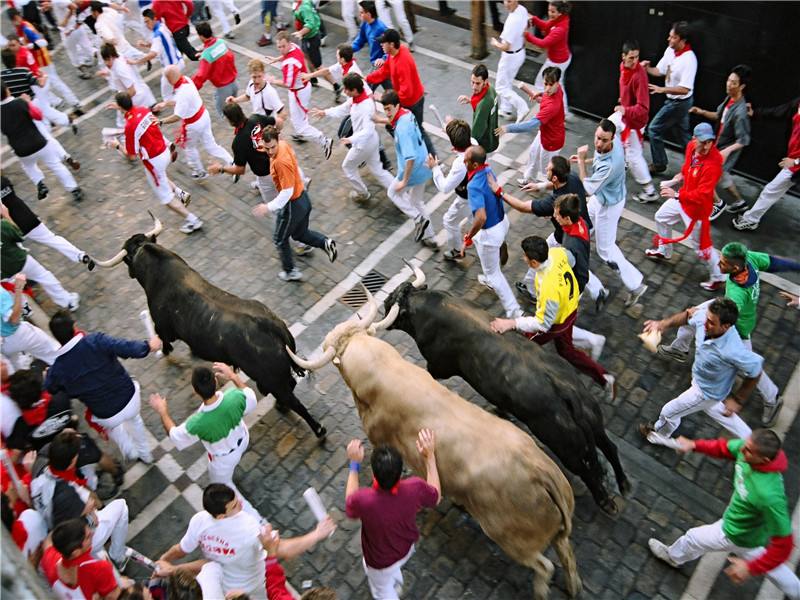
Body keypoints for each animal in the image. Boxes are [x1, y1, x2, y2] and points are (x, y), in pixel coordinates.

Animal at [116, 237, 328, 438]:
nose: (129, 273)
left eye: (127, 258)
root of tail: (272, 325)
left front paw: (165, 351)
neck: (158, 267)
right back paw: (281, 407)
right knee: (290, 387)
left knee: (294, 401)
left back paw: (318, 430)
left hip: (271, 380)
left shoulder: (162, 327)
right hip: (277, 378)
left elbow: (164, 339)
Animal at [288, 288, 580, 596]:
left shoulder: (379, 437)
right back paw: (573, 587)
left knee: (544, 567)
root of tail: (543, 473)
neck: (382, 371)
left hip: (512, 539)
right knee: (566, 554)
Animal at [386, 284, 632, 512]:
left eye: (393, 301)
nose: (385, 302)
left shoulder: (437, 365)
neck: (429, 307)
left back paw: (606, 502)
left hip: (565, 445)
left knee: (587, 469)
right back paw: (623, 483)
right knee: (609, 446)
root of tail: (566, 390)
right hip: (593, 418)